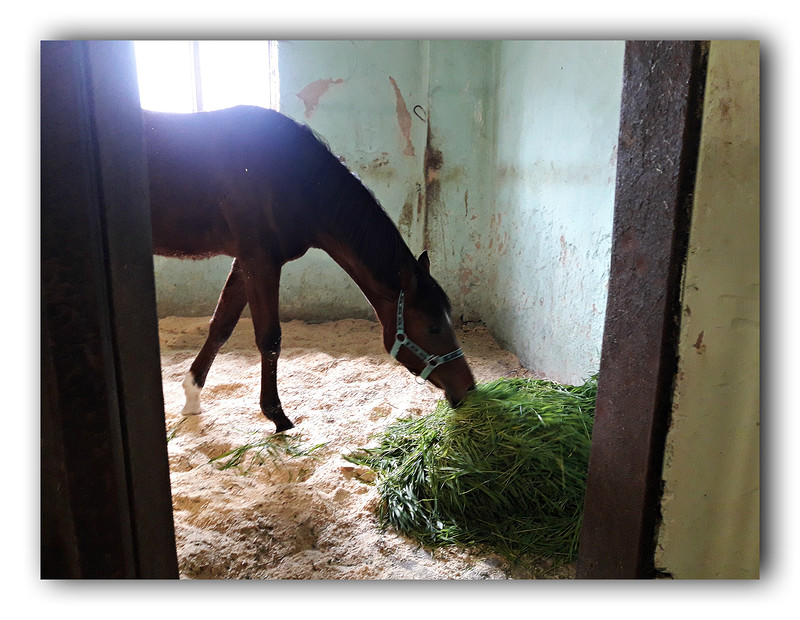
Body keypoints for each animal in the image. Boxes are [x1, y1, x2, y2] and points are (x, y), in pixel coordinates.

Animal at [143, 105, 476, 433]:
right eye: (432, 327)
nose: (469, 389)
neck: (290, 176)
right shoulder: (260, 261)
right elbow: (269, 339)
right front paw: (277, 416)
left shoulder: (244, 262)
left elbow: (221, 327)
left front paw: (192, 397)